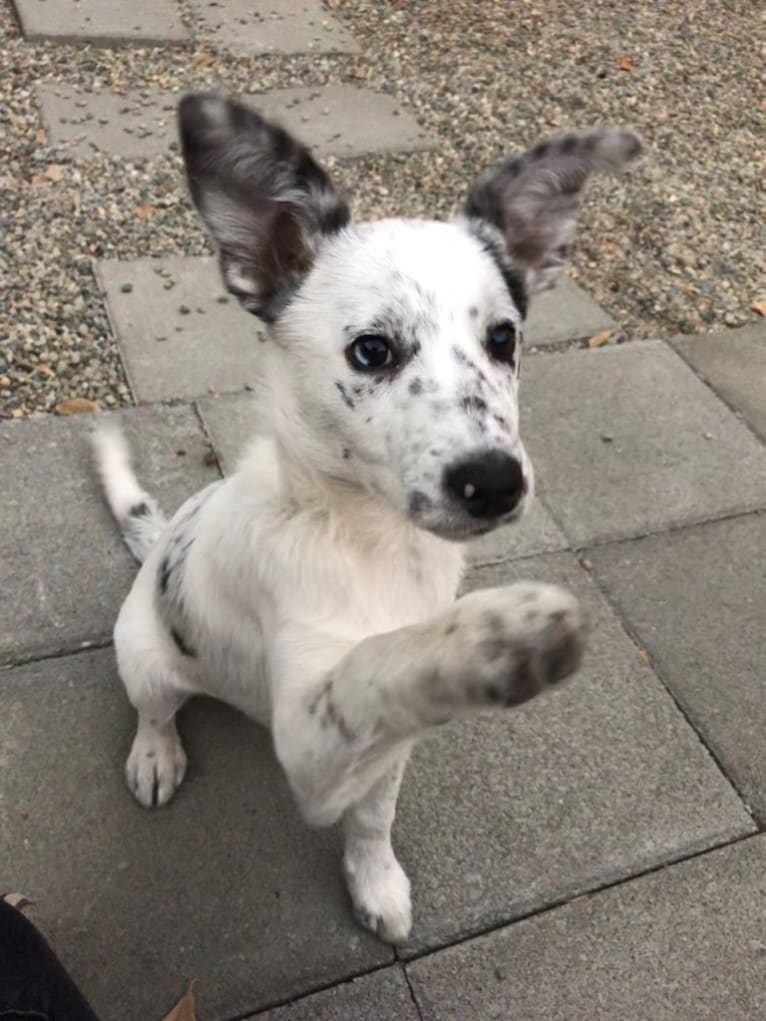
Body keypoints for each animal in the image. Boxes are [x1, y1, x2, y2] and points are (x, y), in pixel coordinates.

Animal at [96, 95, 645, 939]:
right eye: (371, 350)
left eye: (504, 338)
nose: (497, 481)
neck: (371, 541)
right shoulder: (305, 738)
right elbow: (371, 665)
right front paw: (496, 636)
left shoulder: (378, 750)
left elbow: (374, 808)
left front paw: (373, 877)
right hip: (146, 656)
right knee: (154, 707)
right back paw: (156, 753)